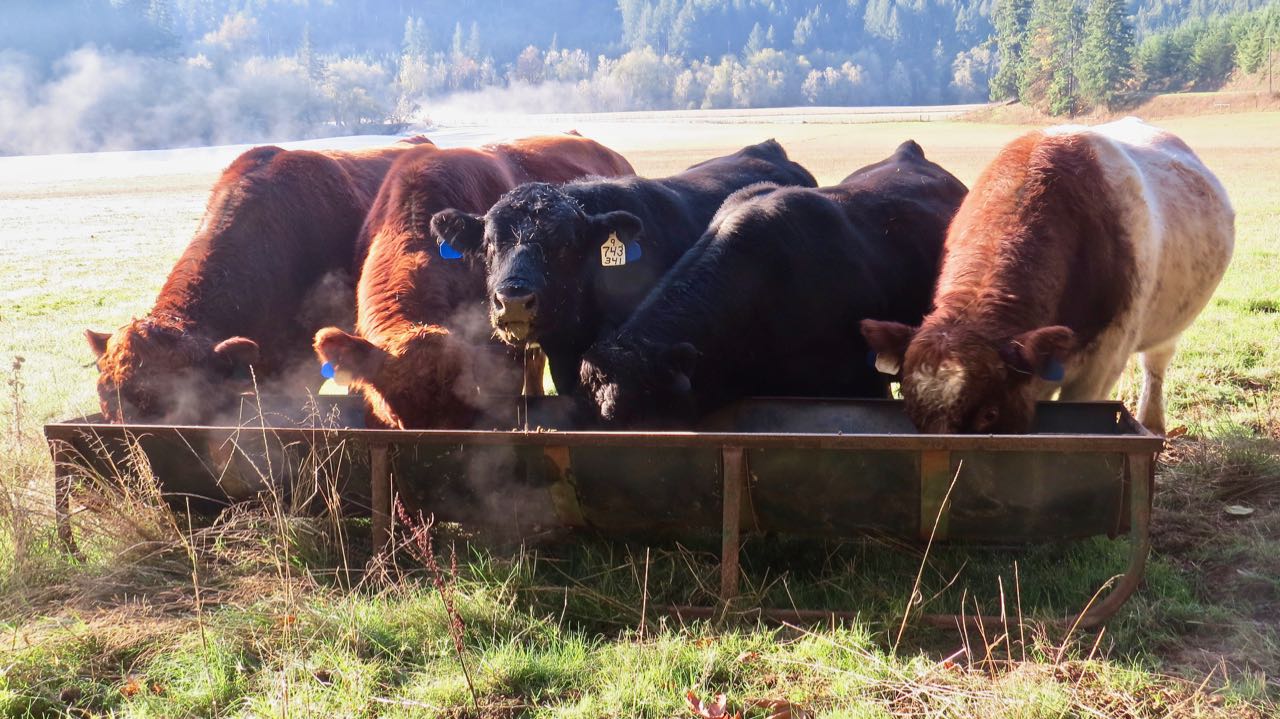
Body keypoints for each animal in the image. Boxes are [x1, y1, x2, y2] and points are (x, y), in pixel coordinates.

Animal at [861, 118, 1234, 435]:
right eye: (912, 412)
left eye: (989, 414)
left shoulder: (1101, 366)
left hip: (1168, 325)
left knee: (1155, 364)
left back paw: (1153, 422)